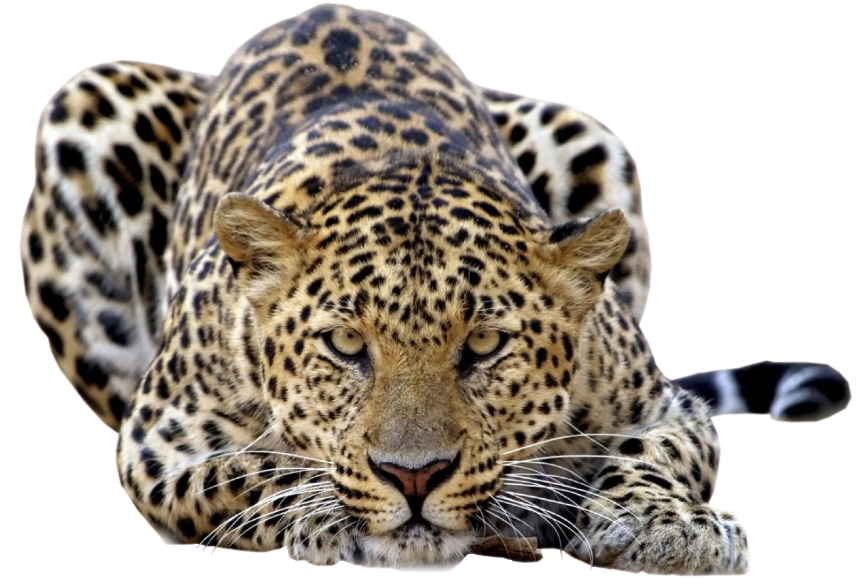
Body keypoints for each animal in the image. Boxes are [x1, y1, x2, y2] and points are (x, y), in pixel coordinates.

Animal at [19, 3, 851, 574]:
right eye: (343, 345)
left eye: (483, 345)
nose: (413, 477)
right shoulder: (158, 442)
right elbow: (253, 467)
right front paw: (324, 512)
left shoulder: (660, 404)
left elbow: (655, 452)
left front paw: (668, 525)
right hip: (84, 103)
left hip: (589, 135)